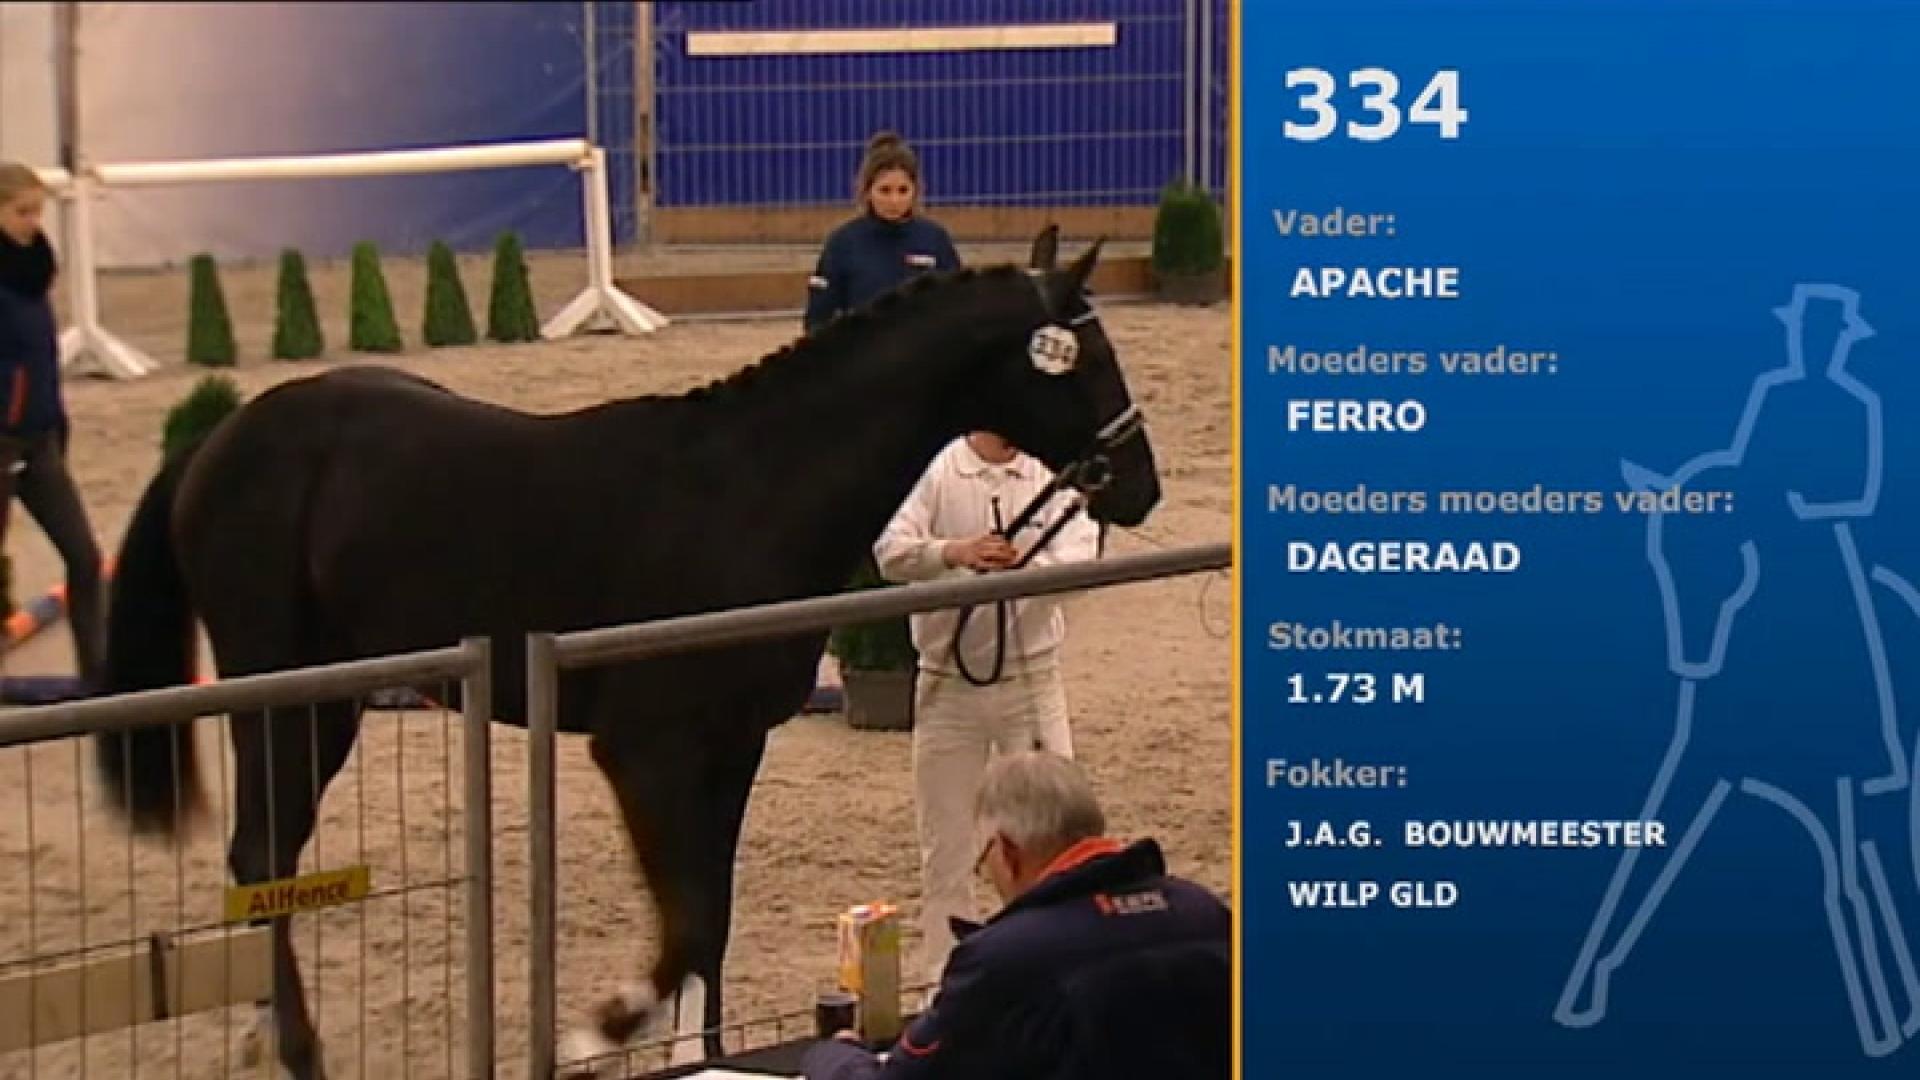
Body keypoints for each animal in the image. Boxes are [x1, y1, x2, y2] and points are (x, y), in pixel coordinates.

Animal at [90, 229, 1160, 1079]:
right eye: (1085, 357)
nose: (1140, 484)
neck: (752, 492)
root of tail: (217, 443)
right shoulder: (646, 752)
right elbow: (682, 920)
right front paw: (599, 1030)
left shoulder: (733, 748)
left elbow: (711, 918)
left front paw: (704, 1052)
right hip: (286, 695)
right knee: (262, 856)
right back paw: (299, 1048)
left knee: (265, 860)